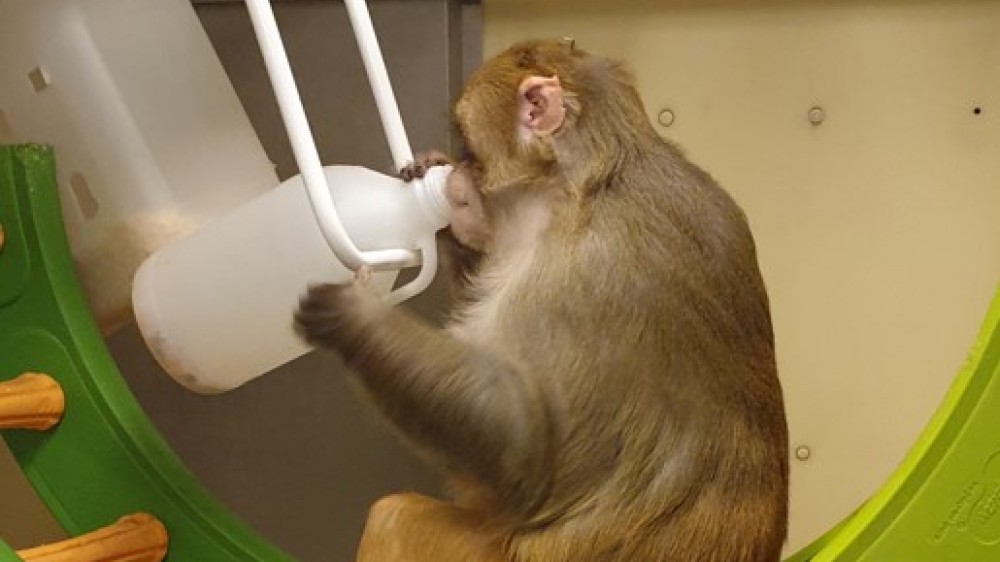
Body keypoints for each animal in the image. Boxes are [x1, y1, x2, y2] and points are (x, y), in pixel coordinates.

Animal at [296, 37, 788, 556]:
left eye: (470, 150)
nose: (457, 182)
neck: (590, 184)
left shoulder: (572, 282)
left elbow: (521, 446)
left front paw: (355, 317)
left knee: (397, 514)